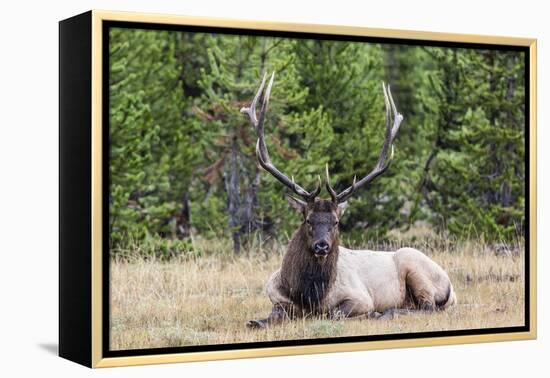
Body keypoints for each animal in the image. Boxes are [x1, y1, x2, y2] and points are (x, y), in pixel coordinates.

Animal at [242, 72, 458, 326]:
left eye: (336, 222)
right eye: (308, 220)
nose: (322, 246)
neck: (308, 297)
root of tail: (452, 289)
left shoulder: (360, 297)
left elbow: (336, 313)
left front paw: (370, 313)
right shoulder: (276, 297)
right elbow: (271, 316)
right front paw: (256, 321)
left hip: (415, 265)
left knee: (427, 307)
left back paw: (387, 312)